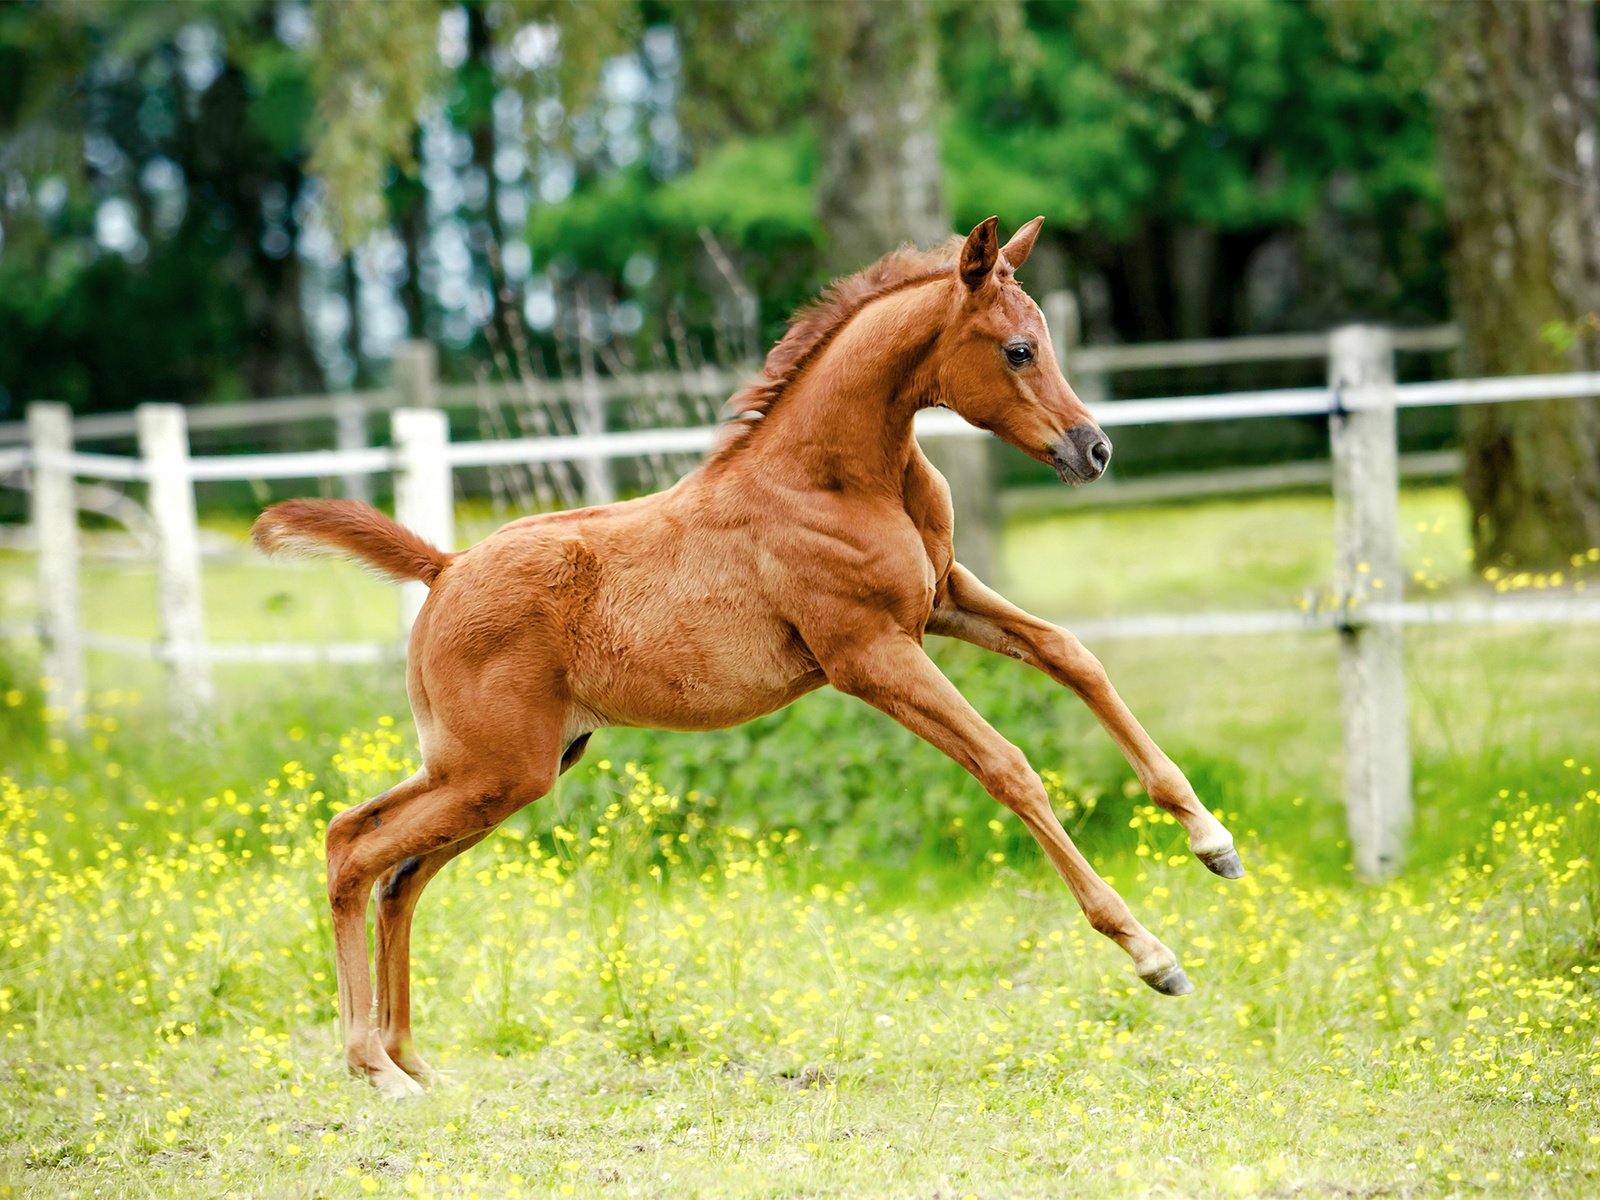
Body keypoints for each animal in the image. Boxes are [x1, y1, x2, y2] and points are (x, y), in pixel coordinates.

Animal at [256, 216, 1241, 1100]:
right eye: (1019, 350)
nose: (1094, 449)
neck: (834, 478)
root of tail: (445, 564)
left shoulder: (943, 601)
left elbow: (1073, 656)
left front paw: (1212, 841)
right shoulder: (870, 653)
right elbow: (1009, 766)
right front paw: (1153, 956)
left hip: (503, 768)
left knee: (393, 871)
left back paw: (414, 1061)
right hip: (495, 769)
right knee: (353, 849)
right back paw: (374, 1068)